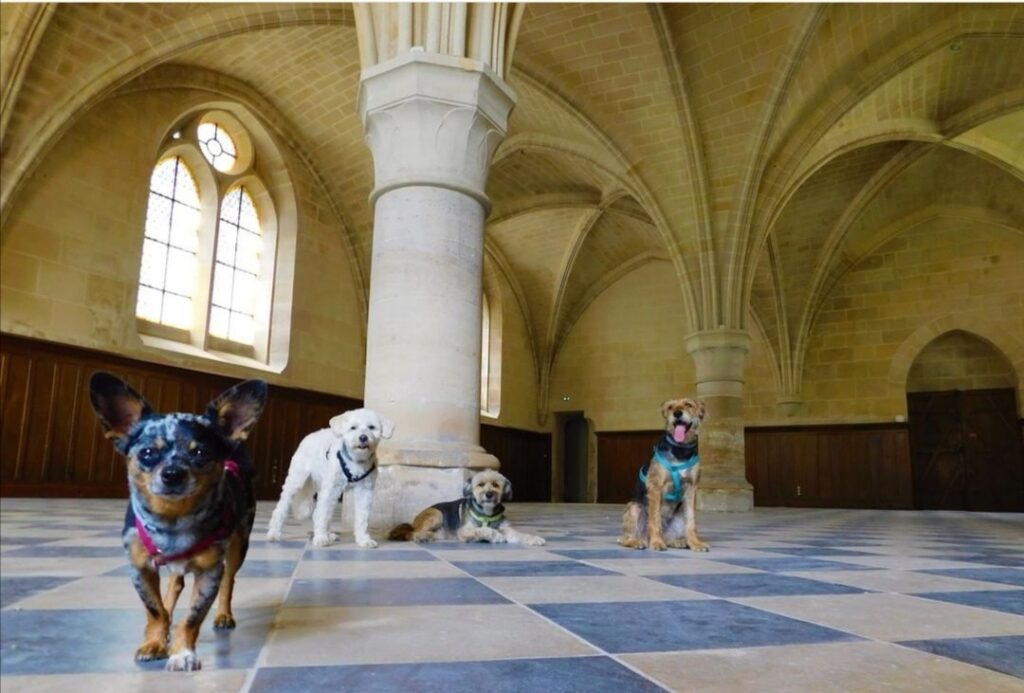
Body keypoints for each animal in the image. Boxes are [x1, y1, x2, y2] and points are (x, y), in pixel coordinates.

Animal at [266, 405, 393, 544]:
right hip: (296, 481)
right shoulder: (330, 488)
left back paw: (328, 534)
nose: (363, 437)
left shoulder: (364, 491)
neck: (355, 460)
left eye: (371, 427)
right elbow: (322, 514)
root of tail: (309, 436)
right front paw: (320, 538)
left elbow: (362, 518)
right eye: (353, 427)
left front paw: (363, 539)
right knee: (282, 508)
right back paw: (274, 533)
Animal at [385, 470, 544, 544]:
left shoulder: (507, 529)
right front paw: (495, 535)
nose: (489, 494)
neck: (487, 514)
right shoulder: (463, 531)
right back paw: (420, 537)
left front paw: (534, 538)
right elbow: (483, 530)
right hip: (437, 515)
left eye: (496, 485)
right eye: (480, 485)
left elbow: (519, 534)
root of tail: (414, 522)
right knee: (412, 533)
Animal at [618, 399, 708, 552]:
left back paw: (679, 541)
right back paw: (638, 542)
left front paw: (695, 543)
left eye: (688, 405)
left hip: (679, 516)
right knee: (623, 538)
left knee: (672, 536)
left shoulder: (691, 488)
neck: (680, 450)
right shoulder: (655, 487)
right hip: (634, 508)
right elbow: (655, 520)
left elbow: (691, 522)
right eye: (670, 407)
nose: (677, 413)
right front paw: (657, 543)